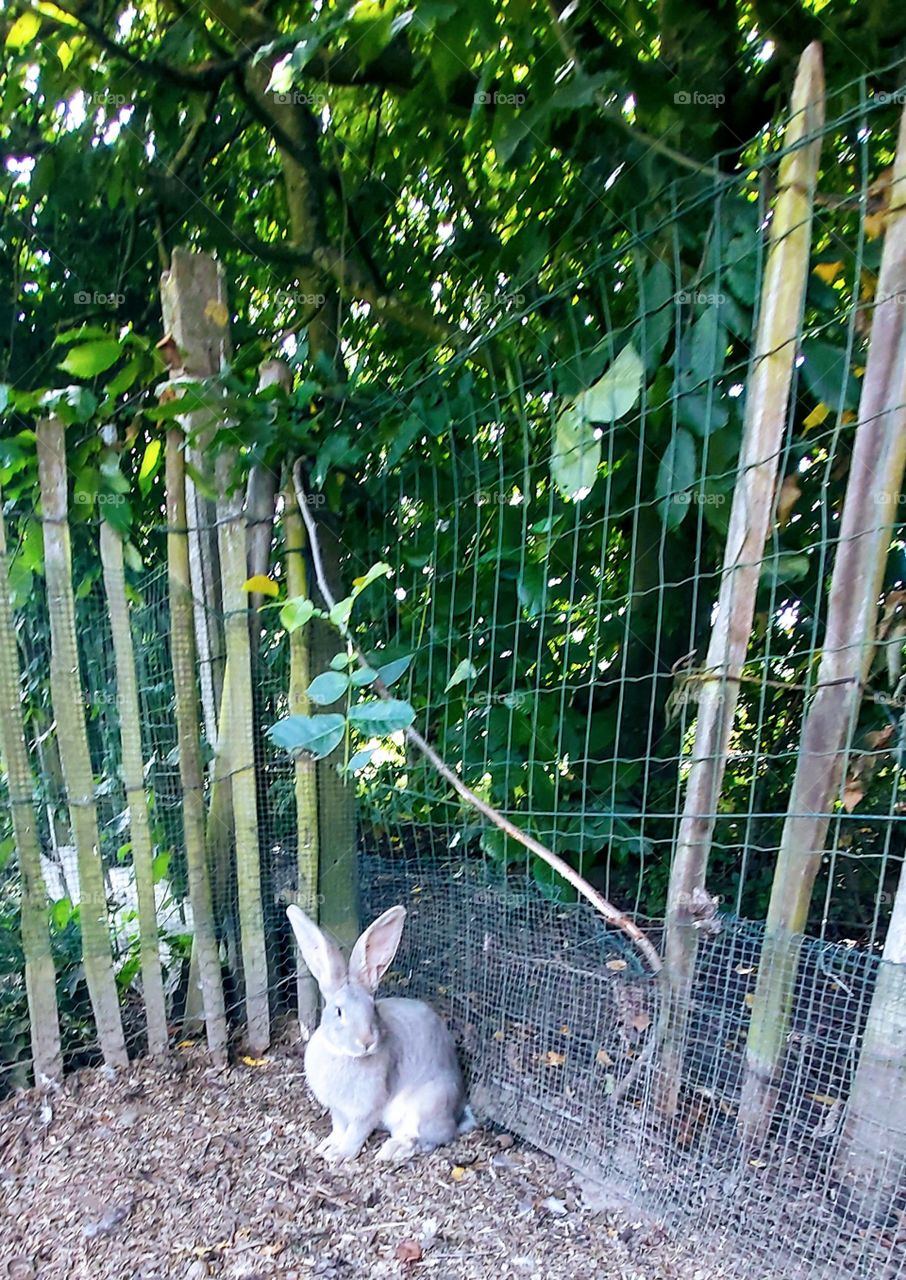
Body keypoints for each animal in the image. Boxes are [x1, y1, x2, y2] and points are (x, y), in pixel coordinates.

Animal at [286, 902, 474, 1163]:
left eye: (372, 1007)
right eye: (339, 1011)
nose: (366, 1042)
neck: (345, 1055)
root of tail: (456, 1118)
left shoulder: (369, 1108)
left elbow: (356, 1132)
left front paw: (340, 1154)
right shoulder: (338, 1111)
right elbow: (339, 1128)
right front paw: (329, 1146)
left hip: (427, 1106)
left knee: (426, 1139)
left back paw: (392, 1150)